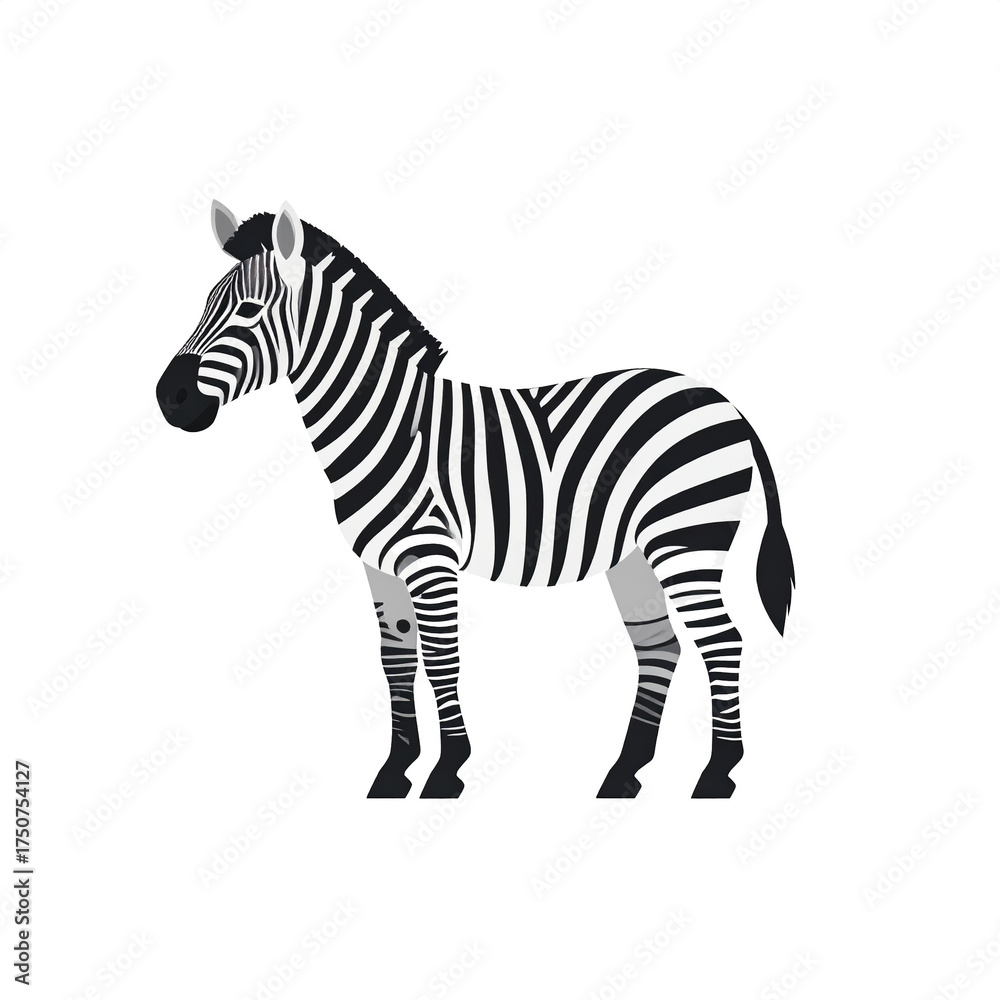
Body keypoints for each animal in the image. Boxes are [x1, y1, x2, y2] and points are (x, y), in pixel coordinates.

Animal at [156, 201, 795, 800]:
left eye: (247, 310)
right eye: (205, 304)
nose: (169, 399)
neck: (388, 424)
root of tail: (723, 400)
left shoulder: (430, 557)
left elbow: (442, 659)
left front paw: (447, 770)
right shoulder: (378, 565)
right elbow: (395, 661)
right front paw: (394, 772)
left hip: (686, 539)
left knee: (722, 642)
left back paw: (717, 774)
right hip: (633, 554)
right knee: (660, 646)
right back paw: (624, 774)